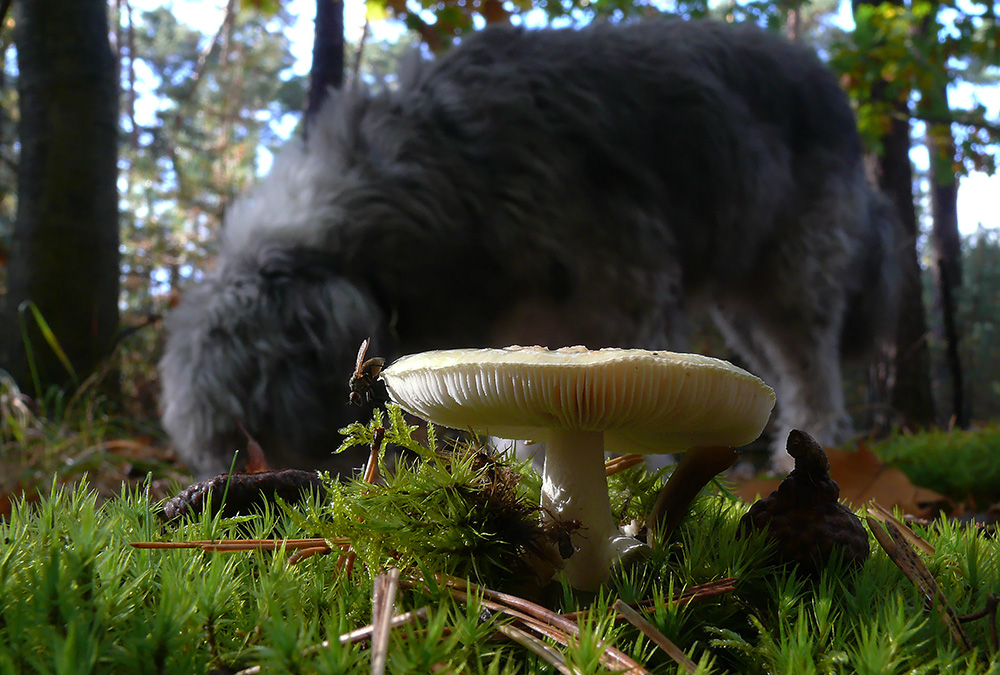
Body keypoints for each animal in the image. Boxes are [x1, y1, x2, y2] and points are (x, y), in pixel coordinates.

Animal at [162, 19, 900, 476]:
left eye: (254, 432)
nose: (268, 491)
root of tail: (828, 81)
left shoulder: (623, 288)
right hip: (742, 305)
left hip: (797, 270)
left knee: (814, 372)